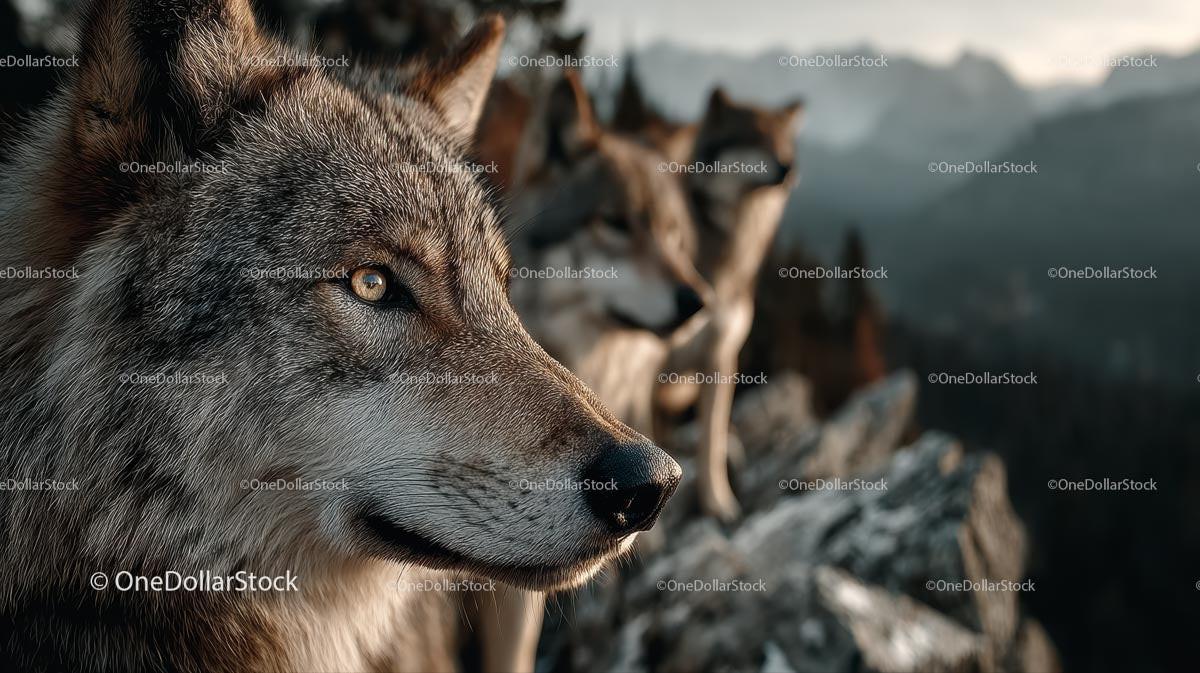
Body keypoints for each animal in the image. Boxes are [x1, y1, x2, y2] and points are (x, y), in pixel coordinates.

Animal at [658, 88, 803, 521]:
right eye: (754, 137)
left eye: (784, 142)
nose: (788, 167)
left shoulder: (721, 356)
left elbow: (711, 444)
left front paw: (719, 504)